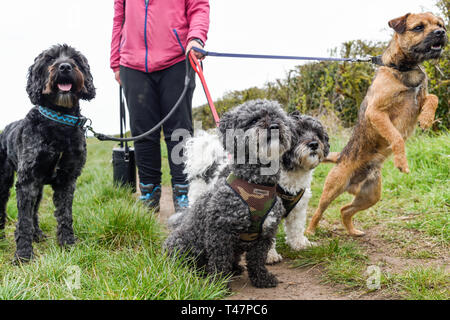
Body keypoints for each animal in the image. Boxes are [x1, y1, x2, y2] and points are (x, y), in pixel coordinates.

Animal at [0, 43, 95, 262]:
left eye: (75, 59)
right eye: (50, 59)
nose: (65, 67)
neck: (58, 120)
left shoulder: (67, 179)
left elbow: (65, 214)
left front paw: (68, 243)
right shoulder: (27, 180)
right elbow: (23, 220)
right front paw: (23, 255)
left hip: (39, 187)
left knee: (35, 209)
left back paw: (37, 234)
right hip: (4, 180)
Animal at [165, 99, 292, 288]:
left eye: (277, 116)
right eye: (254, 120)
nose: (275, 126)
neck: (257, 185)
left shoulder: (265, 234)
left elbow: (258, 259)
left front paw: (262, 278)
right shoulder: (220, 231)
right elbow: (219, 261)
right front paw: (218, 285)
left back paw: (235, 268)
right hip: (182, 244)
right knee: (183, 262)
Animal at [179, 110, 330, 264]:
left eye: (317, 133)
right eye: (298, 133)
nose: (314, 144)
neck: (290, 175)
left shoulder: (298, 209)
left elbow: (296, 228)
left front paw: (300, 244)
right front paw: (270, 255)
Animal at [306, 12, 446, 236]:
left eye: (440, 24)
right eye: (418, 27)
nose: (441, 32)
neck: (404, 67)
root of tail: (340, 157)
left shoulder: (419, 100)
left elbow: (433, 98)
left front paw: (427, 119)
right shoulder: (376, 112)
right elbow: (396, 136)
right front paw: (401, 162)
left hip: (370, 195)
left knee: (345, 209)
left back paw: (353, 231)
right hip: (333, 188)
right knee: (319, 210)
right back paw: (310, 232)